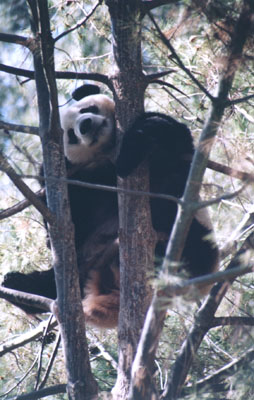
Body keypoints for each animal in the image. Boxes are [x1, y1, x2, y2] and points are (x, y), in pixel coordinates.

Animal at [2, 84, 218, 328]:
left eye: (87, 108)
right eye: (71, 135)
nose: (85, 125)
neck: (105, 157)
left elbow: (173, 141)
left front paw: (139, 139)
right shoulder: (83, 184)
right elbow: (72, 219)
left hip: (196, 238)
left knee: (171, 204)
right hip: (84, 265)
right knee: (48, 284)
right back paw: (17, 284)